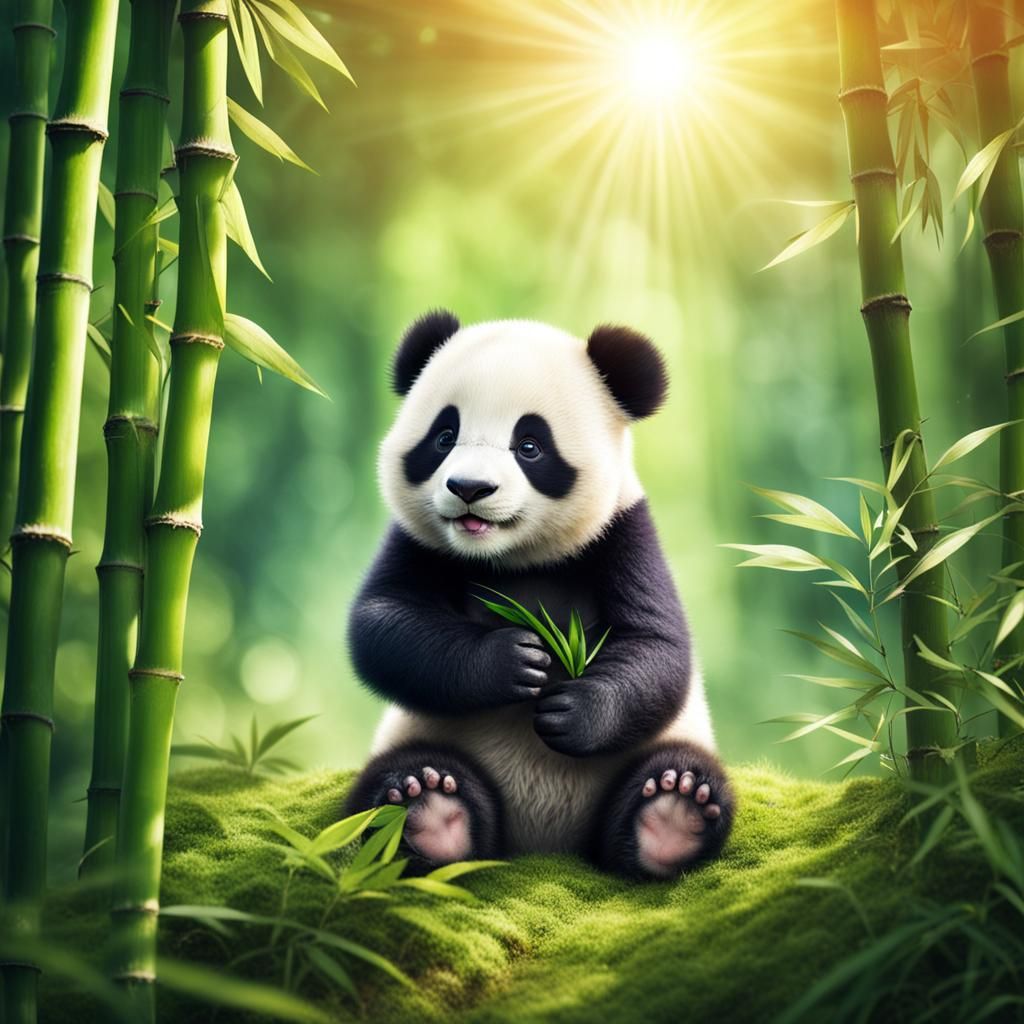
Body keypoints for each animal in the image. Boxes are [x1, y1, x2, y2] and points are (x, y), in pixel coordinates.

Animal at [345, 311, 735, 879]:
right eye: (444, 436)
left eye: (529, 445)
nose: (469, 488)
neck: (513, 558)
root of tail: (543, 843)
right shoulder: (419, 542)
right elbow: (383, 624)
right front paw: (511, 660)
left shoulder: (623, 532)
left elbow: (658, 647)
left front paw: (572, 710)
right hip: (422, 735)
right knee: (394, 785)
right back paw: (425, 807)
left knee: (676, 777)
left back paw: (672, 813)